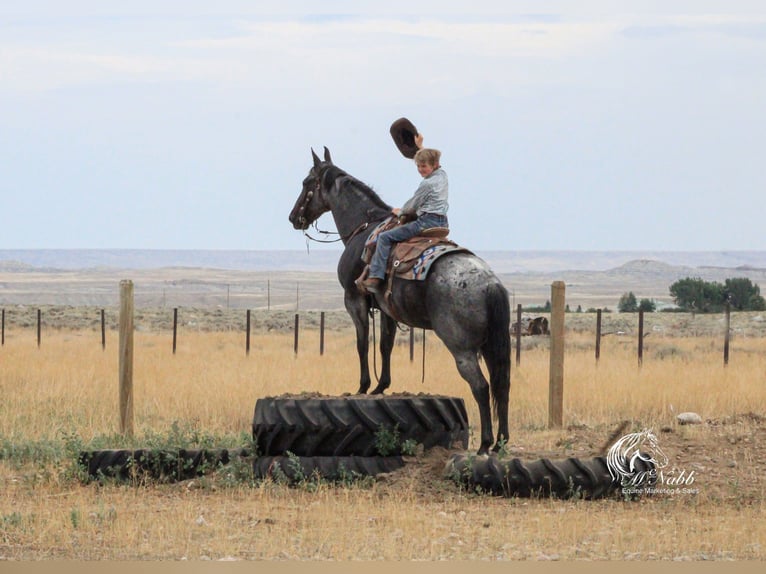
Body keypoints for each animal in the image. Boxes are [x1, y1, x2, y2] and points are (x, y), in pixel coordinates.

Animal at [292, 151, 512, 456]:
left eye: (306, 182)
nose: (293, 217)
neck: (365, 228)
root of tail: (490, 283)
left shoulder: (354, 299)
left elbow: (363, 343)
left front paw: (363, 386)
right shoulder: (386, 309)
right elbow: (385, 345)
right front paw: (381, 386)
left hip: (462, 347)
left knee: (480, 386)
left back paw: (485, 444)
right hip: (491, 346)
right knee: (502, 386)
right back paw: (501, 442)